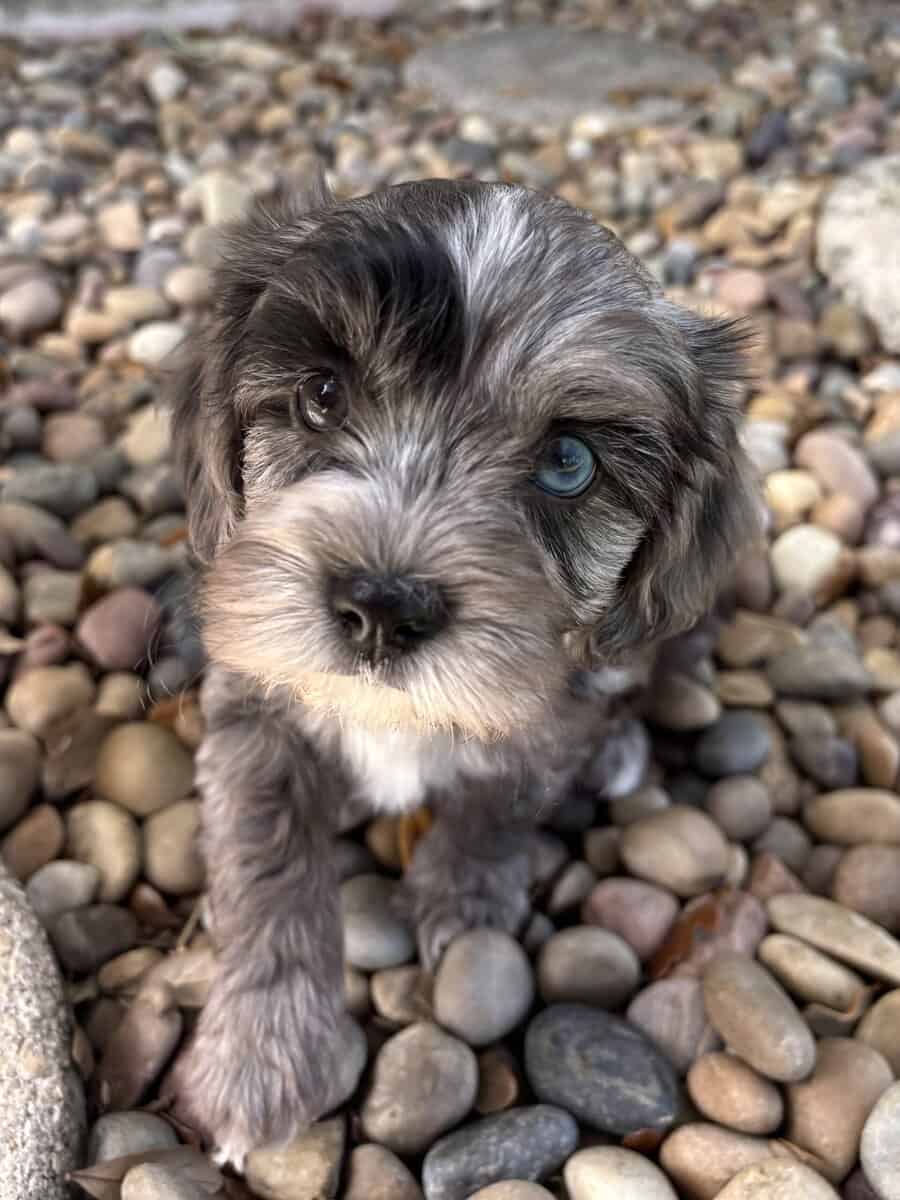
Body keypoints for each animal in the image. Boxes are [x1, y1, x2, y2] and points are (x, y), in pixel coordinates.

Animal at [169, 175, 758, 1168]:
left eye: (568, 462)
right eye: (322, 395)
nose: (380, 609)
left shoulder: (544, 719)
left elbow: (497, 801)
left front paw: (466, 898)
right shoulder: (255, 712)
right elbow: (266, 869)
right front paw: (259, 1058)